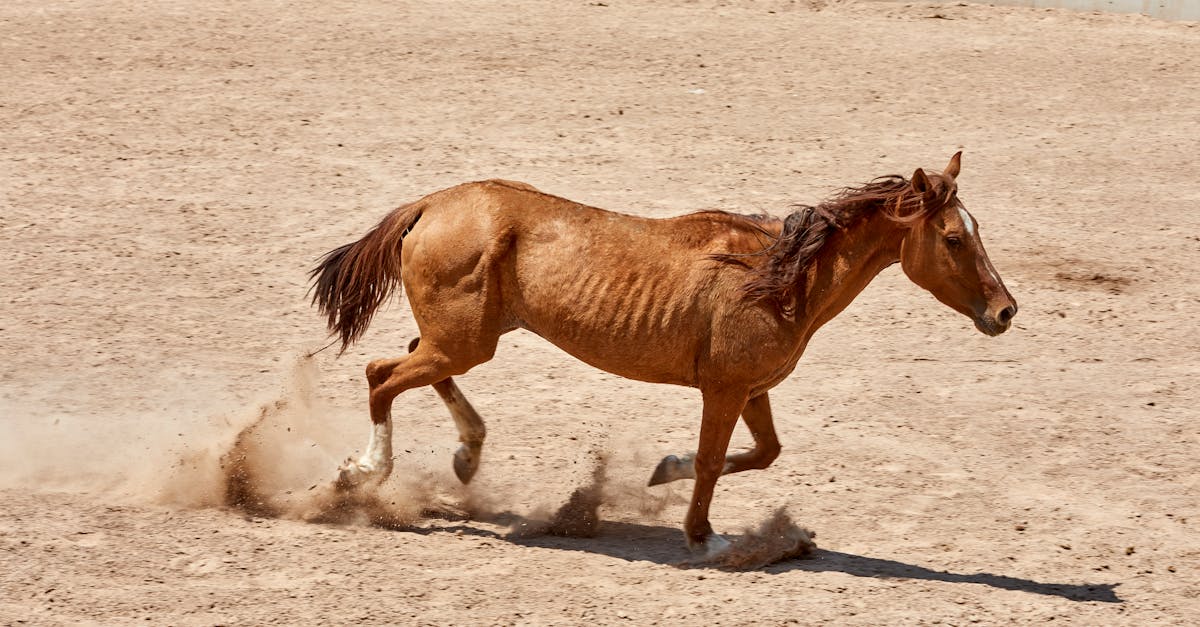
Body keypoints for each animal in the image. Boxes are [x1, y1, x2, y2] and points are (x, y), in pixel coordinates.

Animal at [309, 153, 1012, 554]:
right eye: (954, 238)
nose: (1005, 312)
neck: (780, 279)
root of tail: (433, 202)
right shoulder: (724, 390)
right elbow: (712, 461)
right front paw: (704, 537)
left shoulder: (752, 388)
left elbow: (763, 452)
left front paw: (662, 470)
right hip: (462, 344)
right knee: (380, 375)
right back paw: (359, 476)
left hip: (464, 342)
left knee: (405, 367)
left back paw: (466, 455)